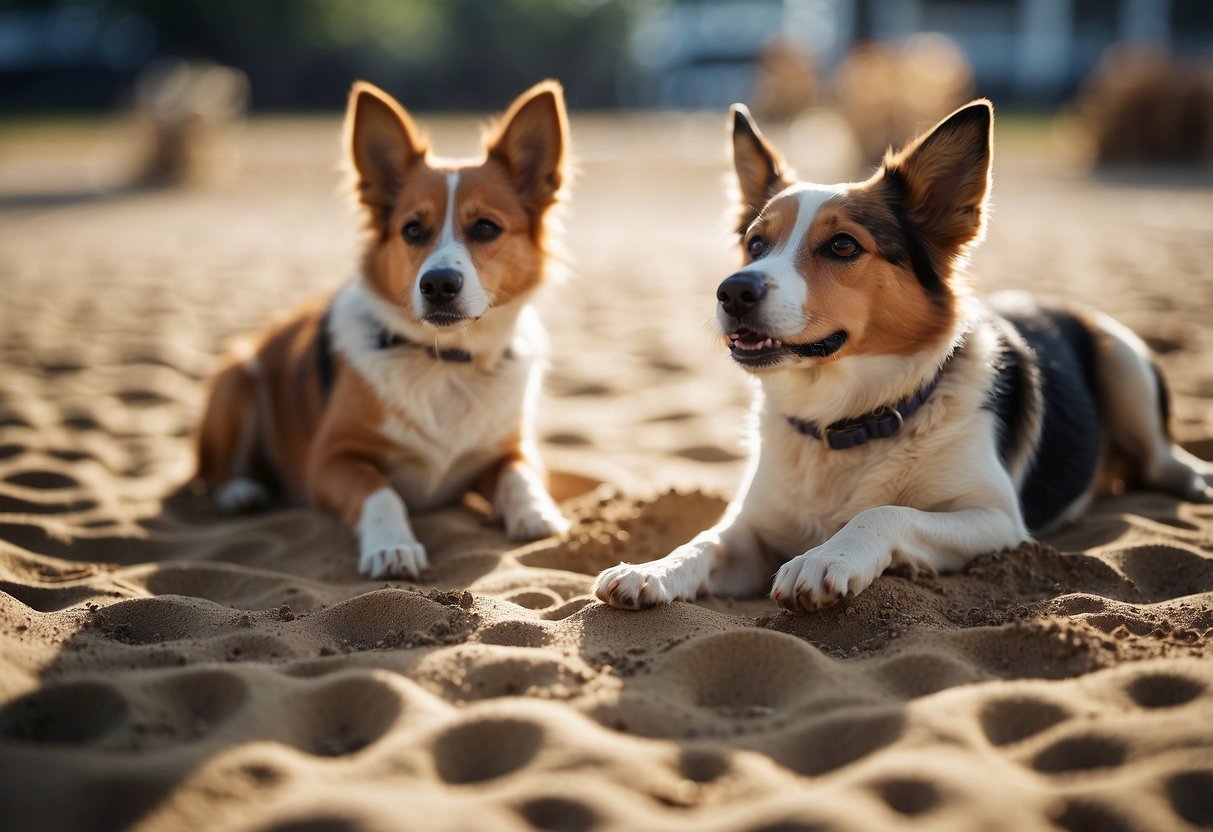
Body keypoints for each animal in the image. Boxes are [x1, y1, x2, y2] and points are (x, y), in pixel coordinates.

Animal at [194, 83, 572, 579]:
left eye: (486, 227)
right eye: (412, 230)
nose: (438, 284)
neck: (445, 360)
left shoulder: (512, 448)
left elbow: (519, 475)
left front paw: (537, 512)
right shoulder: (330, 460)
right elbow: (381, 492)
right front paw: (392, 546)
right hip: (237, 378)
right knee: (214, 472)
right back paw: (241, 491)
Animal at [591, 101, 1208, 616]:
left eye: (843, 246)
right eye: (755, 244)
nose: (733, 290)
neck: (843, 423)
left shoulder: (998, 521)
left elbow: (884, 512)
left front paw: (826, 558)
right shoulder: (751, 530)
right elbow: (705, 542)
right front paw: (653, 568)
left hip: (1122, 360)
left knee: (1161, 459)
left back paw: (1196, 481)